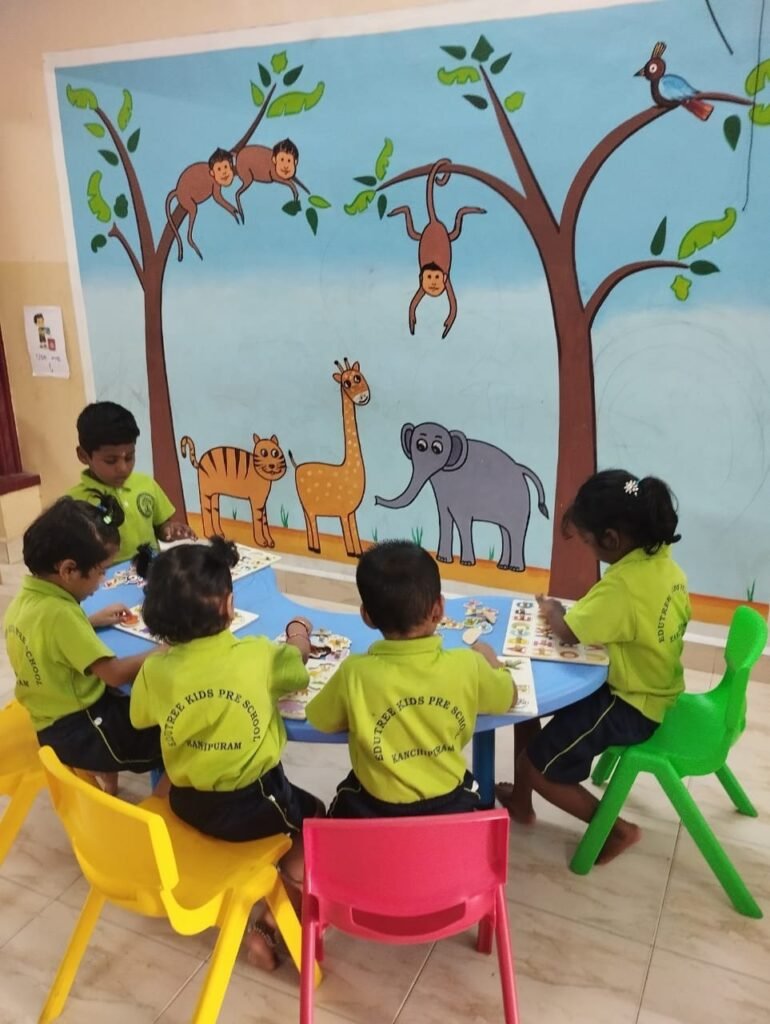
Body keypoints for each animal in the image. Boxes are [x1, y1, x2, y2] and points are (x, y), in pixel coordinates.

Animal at [289, 358, 371, 557]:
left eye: (358, 377)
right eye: (346, 383)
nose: (363, 397)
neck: (348, 467)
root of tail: (297, 466)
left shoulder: (351, 513)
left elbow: (354, 530)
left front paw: (359, 552)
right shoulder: (343, 512)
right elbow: (347, 532)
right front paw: (351, 553)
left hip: (305, 504)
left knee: (307, 520)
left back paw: (312, 546)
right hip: (310, 505)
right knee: (311, 520)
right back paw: (316, 547)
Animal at [375, 422, 549, 571]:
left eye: (437, 449)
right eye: (420, 445)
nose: (376, 499)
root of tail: (521, 469)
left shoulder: (462, 495)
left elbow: (462, 521)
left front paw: (466, 563)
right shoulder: (443, 493)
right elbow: (444, 519)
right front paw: (443, 560)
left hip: (520, 503)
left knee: (516, 533)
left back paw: (515, 568)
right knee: (505, 532)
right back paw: (502, 566)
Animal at [388, 158, 485, 339]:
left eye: (437, 277)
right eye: (429, 277)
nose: (433, 283)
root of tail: (434, 221)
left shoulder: (448, 282)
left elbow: (453, 306)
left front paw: (447, 326)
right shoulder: (421, 287)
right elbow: (412, 303)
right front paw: (412, 322)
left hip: (446, 234)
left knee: (457, 221)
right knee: (413, 230)